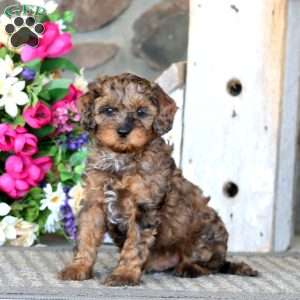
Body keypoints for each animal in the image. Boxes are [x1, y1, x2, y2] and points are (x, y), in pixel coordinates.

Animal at [59, 72, 258, 286]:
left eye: (141, 112)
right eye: (109, 110)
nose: (123, 132)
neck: (122, 158)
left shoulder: (143, 206)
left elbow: (134, 245)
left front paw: (124, 274)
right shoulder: (94, 202)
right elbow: (86, 237)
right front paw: (78, 267)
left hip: (204, 237)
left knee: (211, 264)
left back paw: (189, 268)